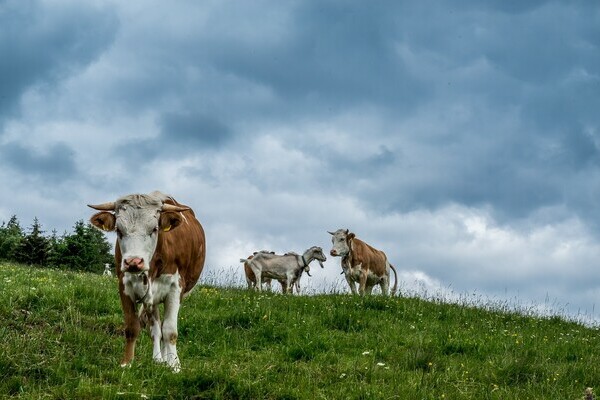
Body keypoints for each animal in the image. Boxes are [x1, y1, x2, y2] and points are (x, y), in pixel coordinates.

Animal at [86, 192, 204, 370]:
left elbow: (170, 330)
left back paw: (166, 360)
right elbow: (133, 327)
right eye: (118, 230)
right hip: (151, 300)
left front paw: (174, 365)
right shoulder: (124, 286)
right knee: (155, 329)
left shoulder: (175, 288)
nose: (133, 262)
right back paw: (158, 359)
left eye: (154, 229)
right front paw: (127, 363)